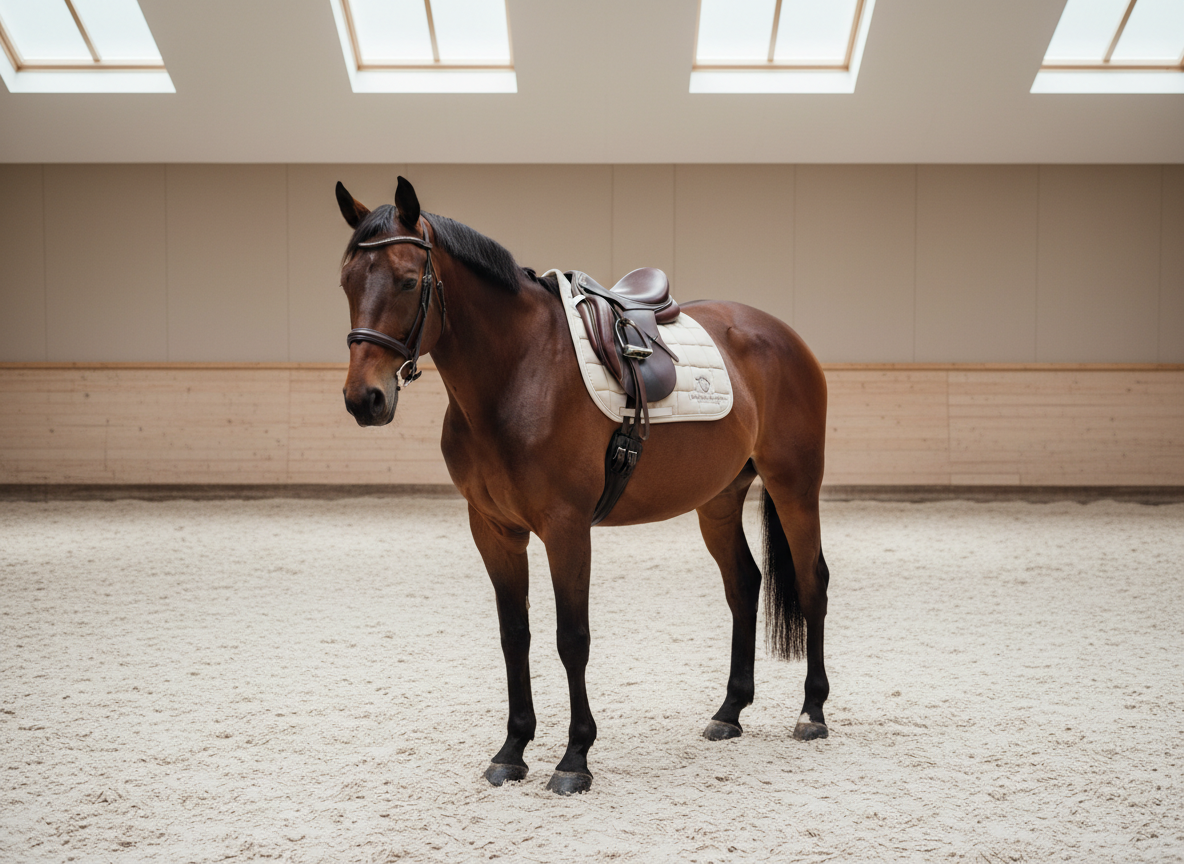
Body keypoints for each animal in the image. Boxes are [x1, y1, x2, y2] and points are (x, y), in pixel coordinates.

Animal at [335, 176, 831, 795]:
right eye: (347, 282)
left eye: (407, 280)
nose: (364, 399)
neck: (519, 373)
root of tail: (780, 332)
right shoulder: (494, 530)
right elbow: (515, 635)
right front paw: (513, 750)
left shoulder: (567, 528)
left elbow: (572, 638)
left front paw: (574, 758)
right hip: (717, 499)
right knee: (743, 584)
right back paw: (729, 712)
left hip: (795, 485)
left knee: (812, 582)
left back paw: (812, 712)